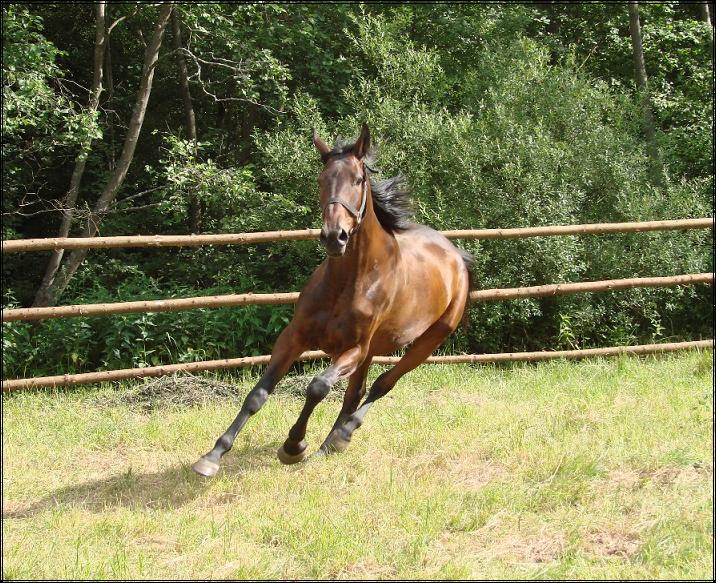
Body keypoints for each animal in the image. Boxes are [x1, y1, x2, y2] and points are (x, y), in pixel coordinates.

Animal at [192, 124, 474, 477]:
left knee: (382, 385)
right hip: (373, 350)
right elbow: (258, 393)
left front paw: (293, 446)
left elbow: (317, 387)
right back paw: (331, 442)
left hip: (427, 342)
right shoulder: (295, 337)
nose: (333, 236)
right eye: (321, 179)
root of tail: (455, 255)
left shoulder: (352, 349)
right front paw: (212, 455)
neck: (347, 282)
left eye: (359, 180)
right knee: (356, 392)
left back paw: (342, 434)